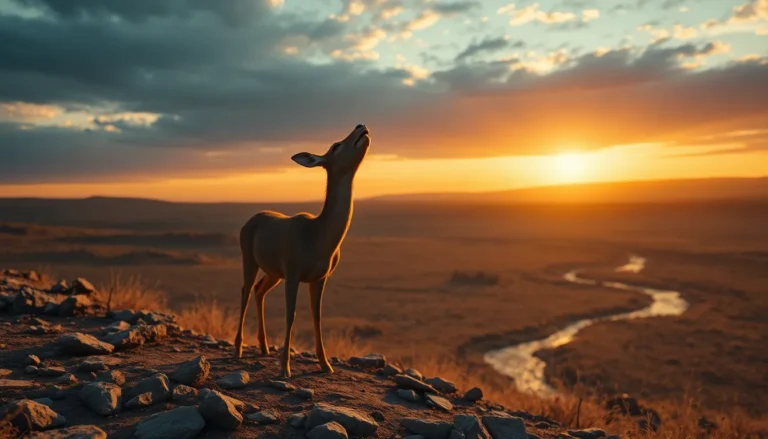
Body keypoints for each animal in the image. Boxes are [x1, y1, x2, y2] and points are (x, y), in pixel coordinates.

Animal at [234, 123, 371, 378]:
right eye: (335, 146)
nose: (360, 126)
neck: (319, 235)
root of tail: (251, 220)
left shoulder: (319, 278)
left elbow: (317, 316)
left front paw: (326, 365)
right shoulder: (293, 275)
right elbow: (291, 315)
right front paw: (285, 368)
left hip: (273, 273)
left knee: (259, 291)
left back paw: (264, 347)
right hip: (250, 262)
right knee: (245, 292)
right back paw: (237, 350)